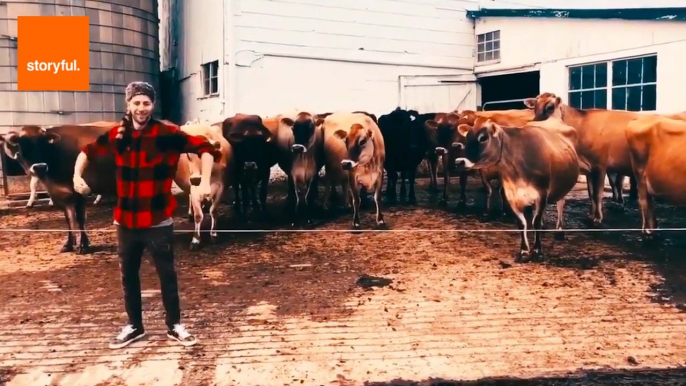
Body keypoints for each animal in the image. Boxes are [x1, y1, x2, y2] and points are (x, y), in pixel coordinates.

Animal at [0, 123, 117, 253]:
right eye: (24, 143)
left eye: (43, 142)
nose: (40, 167)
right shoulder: (62, 194)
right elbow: (69, 218)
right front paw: (69, 244)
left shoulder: (79, 191)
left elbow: (80, 218)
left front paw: (84, 245)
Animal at [456, 118, 580, 262]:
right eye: (467, 137)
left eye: (483, 138)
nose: (459, 161)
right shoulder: (511, 195)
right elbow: (522, 223)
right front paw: (524, 251)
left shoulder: (542, 193)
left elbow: (536, 222)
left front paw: (537, 251)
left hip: (562, 185)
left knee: (560, 204)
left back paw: (559, 232)